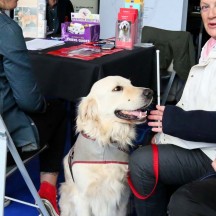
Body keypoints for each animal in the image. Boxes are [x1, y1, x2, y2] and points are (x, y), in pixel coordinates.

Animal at [59, 76, 154, 216]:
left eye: (131, 84)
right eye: (117, 88)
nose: (150, 92)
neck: (105, 144)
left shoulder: (123, 194)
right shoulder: (82, 198)